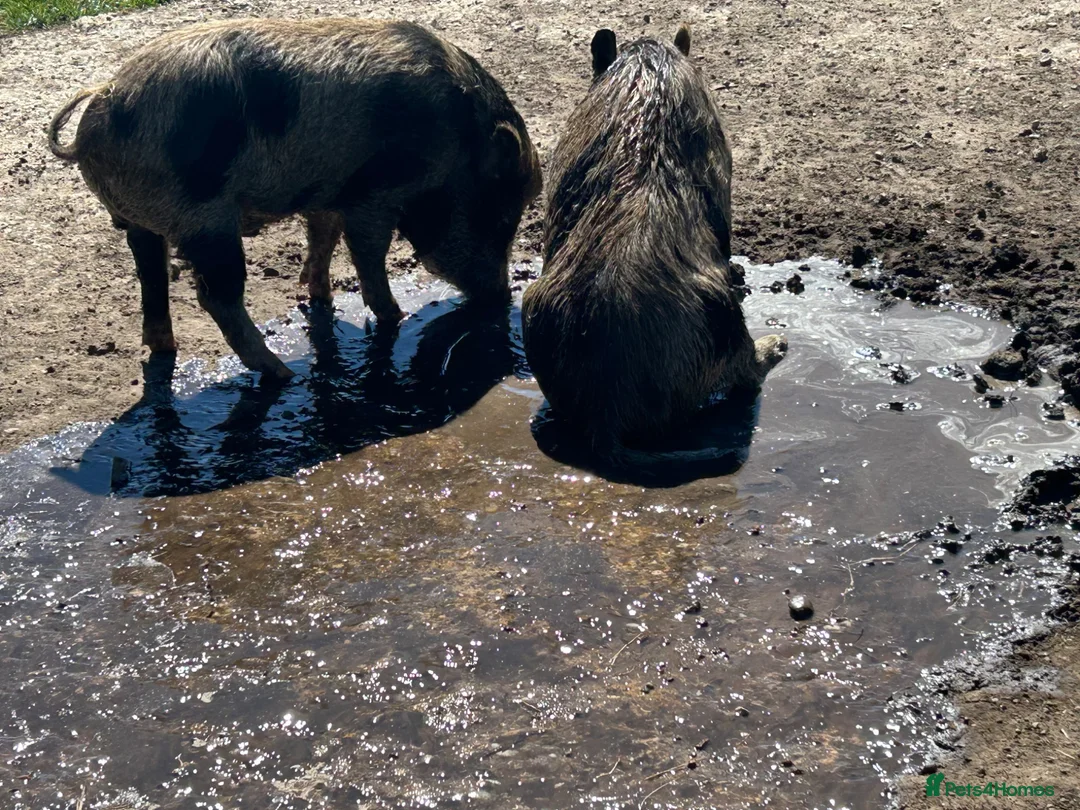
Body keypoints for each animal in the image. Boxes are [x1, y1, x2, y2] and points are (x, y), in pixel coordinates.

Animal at [49, 18, 542, 381]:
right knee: (216, 296)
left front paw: (321, 296)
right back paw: (281, 374)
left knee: (152, 280)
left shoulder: (328, 192)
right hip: (205, 218)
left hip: (143, 223)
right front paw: (395, 318)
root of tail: (104, 104)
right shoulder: (375, 194)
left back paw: (166, 347)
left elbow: (322, 237)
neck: (453, 145)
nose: (502, 295)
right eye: (501, 218)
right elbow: (368, 253)